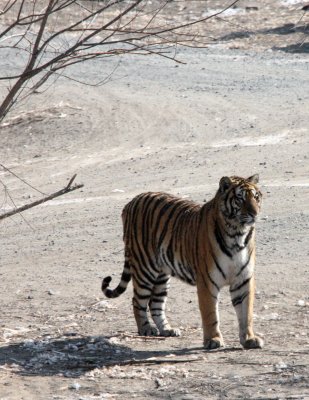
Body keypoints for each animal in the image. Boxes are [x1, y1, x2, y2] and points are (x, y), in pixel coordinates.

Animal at [101, 173, 262, 348]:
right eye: (240, 198)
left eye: (256, 197)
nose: (254, 213)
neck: (238, 234)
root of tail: (131, 202)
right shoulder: (207, 281)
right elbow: (210, 314)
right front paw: (213, 340)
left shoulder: (243, 280)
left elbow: (246, 314)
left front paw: (249, 339)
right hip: (145, 269)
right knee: (138, 301)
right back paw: (146, 328)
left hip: (162, 275)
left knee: (155, 303)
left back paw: (167, 329)